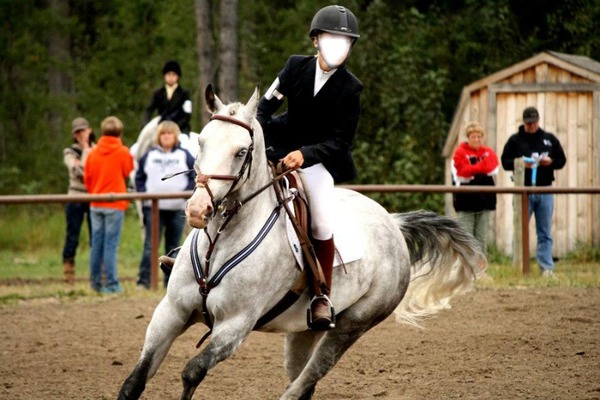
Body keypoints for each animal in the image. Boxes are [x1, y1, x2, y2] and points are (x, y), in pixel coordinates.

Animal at [118, 86, 488, 398]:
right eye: (202, 143)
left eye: (241, 151)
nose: (198, 209)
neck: (221, 242)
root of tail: (393, 224)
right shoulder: (171, 311)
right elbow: (134, 381)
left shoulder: (234, 327)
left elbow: (192, 371)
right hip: (302, 331)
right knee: (303, 381)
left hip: (350, 327)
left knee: (304, 383)